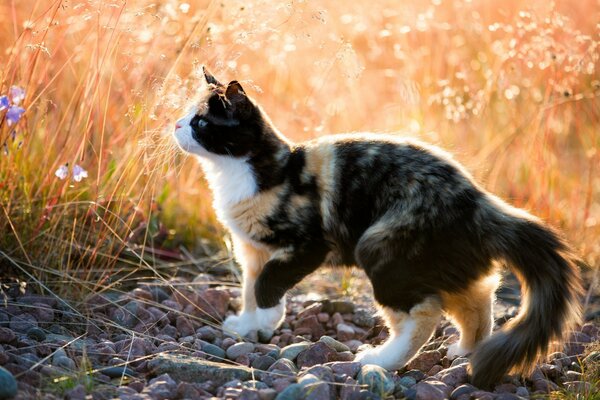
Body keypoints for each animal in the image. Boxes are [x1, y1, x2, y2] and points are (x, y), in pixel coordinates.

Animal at [172, 67, 580, 390]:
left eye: (200, 122)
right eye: (185, 115)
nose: (175, 125)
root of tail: (479, 201)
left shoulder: (306, 246)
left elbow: (267, 285)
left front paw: (270, 319)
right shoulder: (252, 251)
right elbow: (249, 289)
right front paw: (247, 325)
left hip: (382, 250)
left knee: (423, 315)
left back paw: (380, 360)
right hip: (437, 264)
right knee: (477, 297)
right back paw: (467, 349)